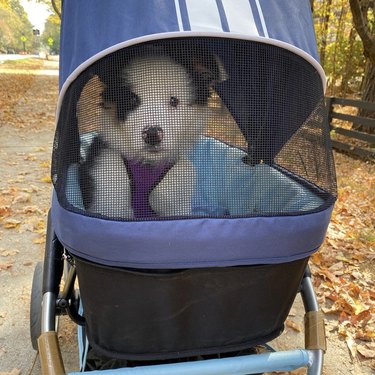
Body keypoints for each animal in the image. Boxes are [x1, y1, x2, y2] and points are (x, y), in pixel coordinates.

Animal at [79, 46, 226, 220]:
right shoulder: (107, 194)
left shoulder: (177, 201)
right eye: (132, 100)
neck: (147, 164)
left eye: (174, 100)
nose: (152, 135)